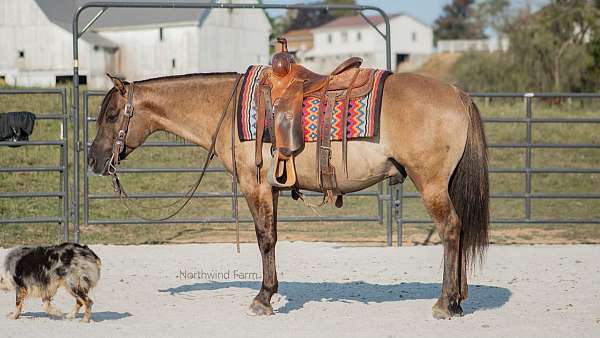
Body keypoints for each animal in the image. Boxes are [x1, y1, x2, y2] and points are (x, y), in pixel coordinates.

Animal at [89, 56, 490, 318]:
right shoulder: (273, 189)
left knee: (451, 229)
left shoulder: (255, 187)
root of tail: (457, 93)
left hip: (432, 184)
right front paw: (269, 292)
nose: (94, 159)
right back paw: (457, 300)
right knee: (459, 229)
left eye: (112, 115)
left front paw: (262, 298)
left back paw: (445, 303)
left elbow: (265, 239)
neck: (227, 108)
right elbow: (273, 237)